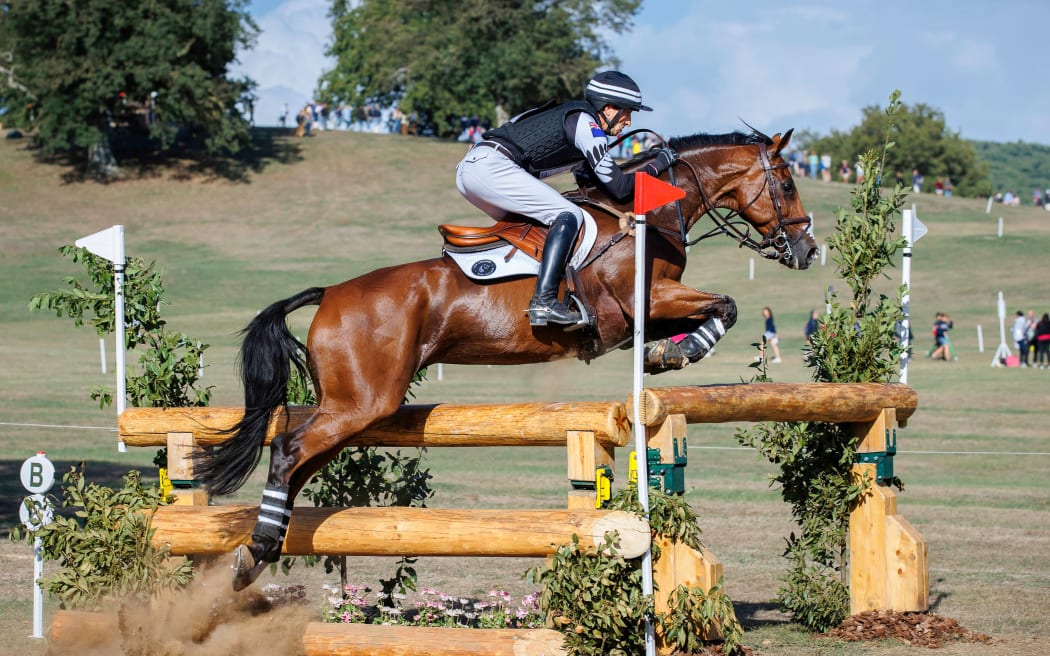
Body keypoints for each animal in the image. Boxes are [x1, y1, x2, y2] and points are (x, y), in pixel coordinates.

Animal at [197, 123, 818, 587]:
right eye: (788, 183)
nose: (808, 250)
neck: (649, 217)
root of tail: (331, 293)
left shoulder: (651, 310)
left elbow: (716, 310)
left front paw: (667, 353)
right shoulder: (643, 300)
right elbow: (728, 304)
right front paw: (676, 354)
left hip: (351, 409)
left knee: (297, 460)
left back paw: (263, 548)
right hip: (362, 403)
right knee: (286, 449)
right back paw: (256, 549)